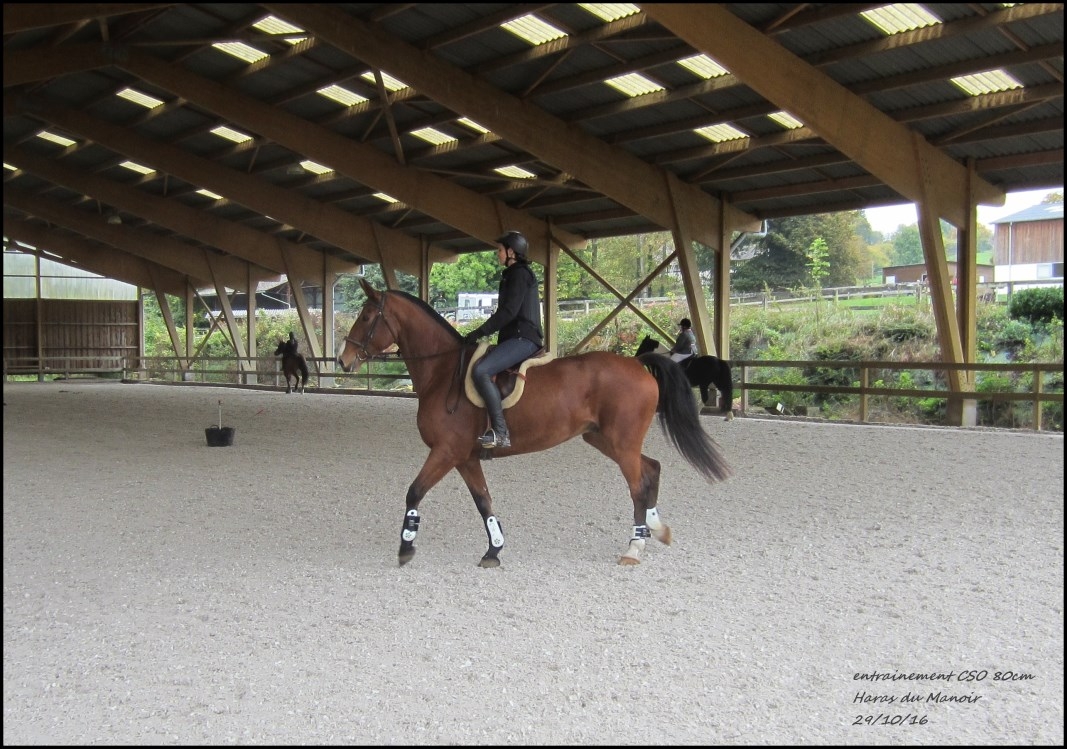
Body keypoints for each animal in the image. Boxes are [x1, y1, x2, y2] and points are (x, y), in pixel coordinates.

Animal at [337, 278, 731, 568]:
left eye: (367, 316)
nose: (344, 360)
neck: (443, 372)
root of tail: (637, 364)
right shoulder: (464, 457)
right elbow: (484, 502)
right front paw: (494, 550)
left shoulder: (445, 451)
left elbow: (414, 491)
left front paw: (406, 547)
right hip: (604, 439)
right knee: (651, 469)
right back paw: (655, 531)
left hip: (621, 442)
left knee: (638, 484)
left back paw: (635, 547)